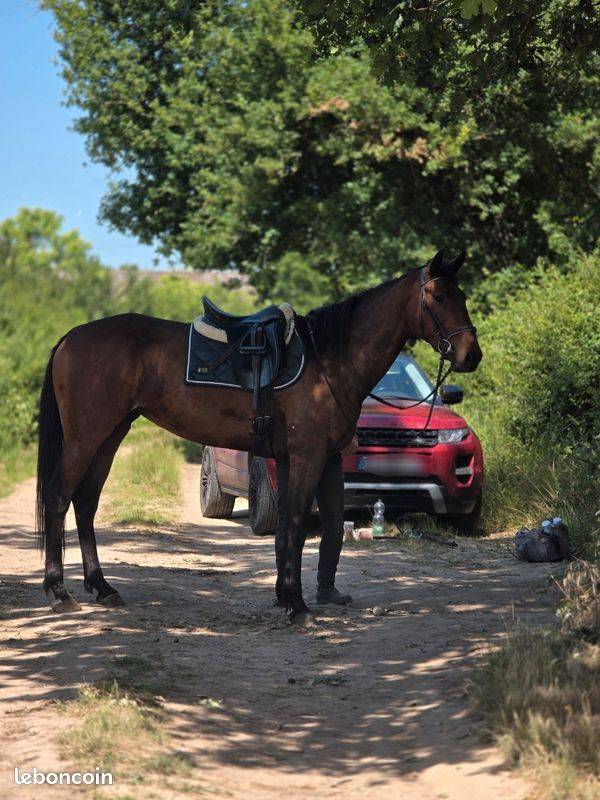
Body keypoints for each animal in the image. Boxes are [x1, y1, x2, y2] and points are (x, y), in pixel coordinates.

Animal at [36, 250, 481, 624]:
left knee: (86, 503)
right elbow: (298, 521)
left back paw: (102, 587)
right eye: (440, 296)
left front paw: (285, 596)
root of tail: (70, 338)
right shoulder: (305, 455)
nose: (471, 355)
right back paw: (59, 592)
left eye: (461, 294)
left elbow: (289, 528)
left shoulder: (292, 458)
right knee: (59, 496)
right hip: (86, 438)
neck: (327, 361)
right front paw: (298, 606)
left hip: (110, 436)